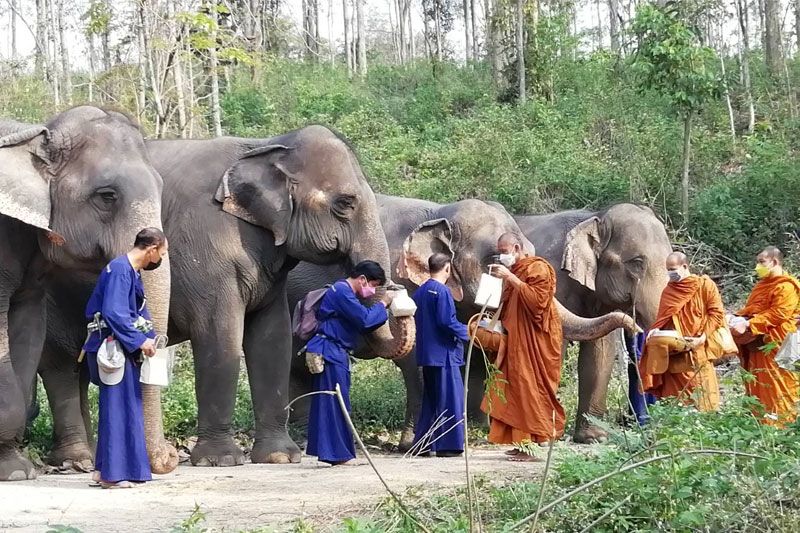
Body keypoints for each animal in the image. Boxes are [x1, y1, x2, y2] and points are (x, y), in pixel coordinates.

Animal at [0, 106, 170, 480]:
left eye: (161, 186)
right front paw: (16, 473)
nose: (168, 461)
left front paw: (14, 468)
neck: (38, 136)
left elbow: (27, 328)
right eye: (107, 195)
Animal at [37, 124, 412, 466]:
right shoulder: (207, 249)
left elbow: (272, 339)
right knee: (60, 364)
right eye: (345, 203)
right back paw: (76, 461)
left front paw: (280, 457)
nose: (395, 291)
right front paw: (221, 460)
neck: (265, 146)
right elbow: (220, 335)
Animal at [284, 193, 640, 446]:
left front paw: (473, 430)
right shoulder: (408, 281)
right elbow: (417, 356)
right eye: (495, 259)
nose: (632, 321)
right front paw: (418, 444)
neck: (440, 215)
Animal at [512, 204, 668, 440]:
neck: (595, 218)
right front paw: (546, 435)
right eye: (636, 263)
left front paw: (594, 437)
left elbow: (600, 351)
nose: (638, 326)